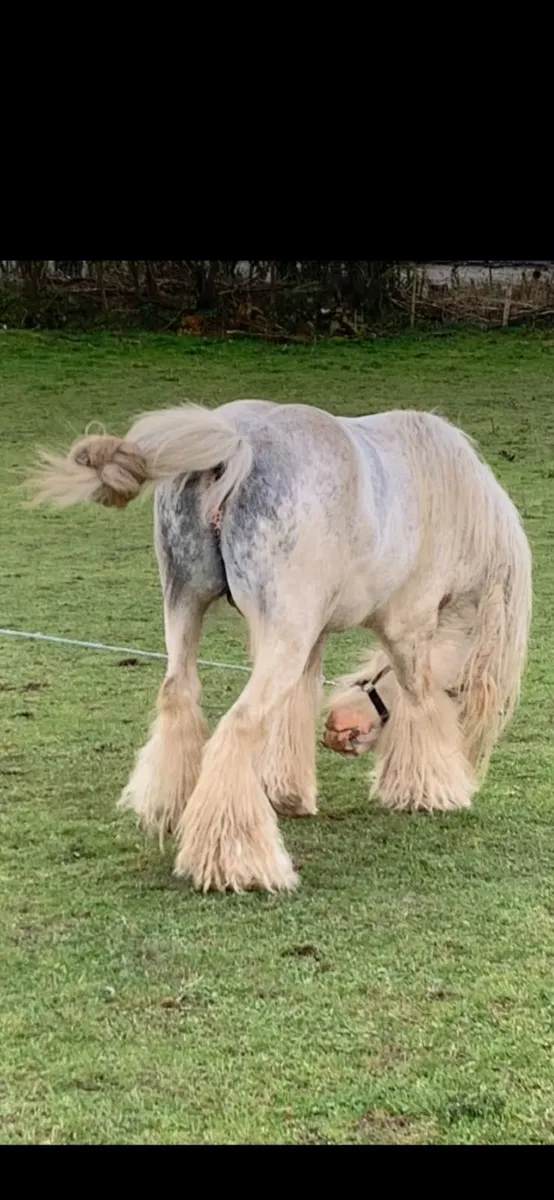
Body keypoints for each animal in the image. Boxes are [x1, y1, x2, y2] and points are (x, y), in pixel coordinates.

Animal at [27, 399, 532, 893]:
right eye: (459, 690)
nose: (340, 735)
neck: (448, 496)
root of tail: (237, 445)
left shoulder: (313, 635)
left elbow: (297, 705)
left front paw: (286, 793)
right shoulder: (407, 628)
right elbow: (419, 702)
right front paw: (433, 789)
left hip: (186, 606)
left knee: (178, 697)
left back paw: (176, 812)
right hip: (280, 633)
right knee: (238, 726)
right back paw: (239, 864)